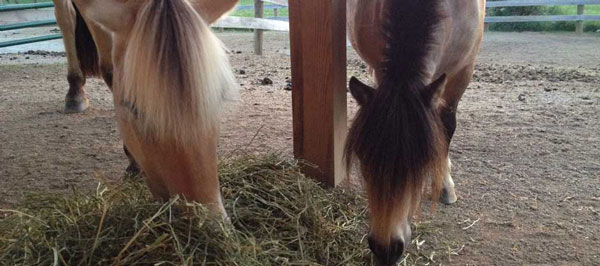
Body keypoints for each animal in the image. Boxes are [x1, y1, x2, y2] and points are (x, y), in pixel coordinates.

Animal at [62, 0, 239, 215]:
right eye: (133, 107)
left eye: (218, 97)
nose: (209, 220)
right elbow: (108, 69)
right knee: (66, 17)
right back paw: (74, 93)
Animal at [344, 0, 486, 264]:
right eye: (363, 157)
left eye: (424, 162)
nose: (385, 250)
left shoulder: (463, 71)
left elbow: (447, 126)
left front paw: (445, 186)